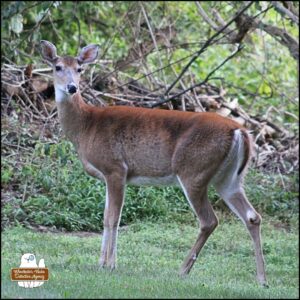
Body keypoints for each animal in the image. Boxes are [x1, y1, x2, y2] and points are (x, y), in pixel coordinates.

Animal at [39, 40, 268, 286]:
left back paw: (183, 270)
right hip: (229, 179)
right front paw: (100, 263)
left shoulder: (116, 168)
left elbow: (113, 218)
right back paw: (262, 279)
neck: (86, 127)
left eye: (80, 69)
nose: (72, 87)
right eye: (58, 67)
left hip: (193, 171)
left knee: (209, 220)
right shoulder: (109, 176)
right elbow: (105, 217)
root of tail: (240, 131)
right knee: (252, 216)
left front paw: (110, 264)